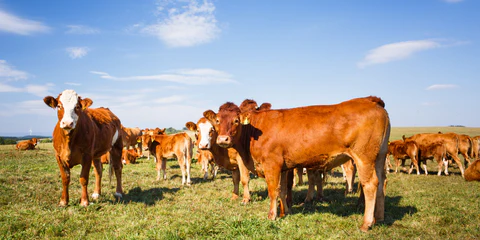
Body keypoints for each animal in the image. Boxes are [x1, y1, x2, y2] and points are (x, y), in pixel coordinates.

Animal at [204, 96, 392, 232]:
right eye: (218, 121)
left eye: (236, 121)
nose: (223, 139)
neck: (253, 131)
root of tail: (370, 100)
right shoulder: (283, 167)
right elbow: (282, 190)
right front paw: (285, 212)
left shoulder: (271, 164)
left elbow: (273, 191)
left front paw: (272, 215)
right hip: (379, 157)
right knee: (381, 183)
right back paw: (380, 217)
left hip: (364, 157)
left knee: (370, 185)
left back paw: (366, 223)